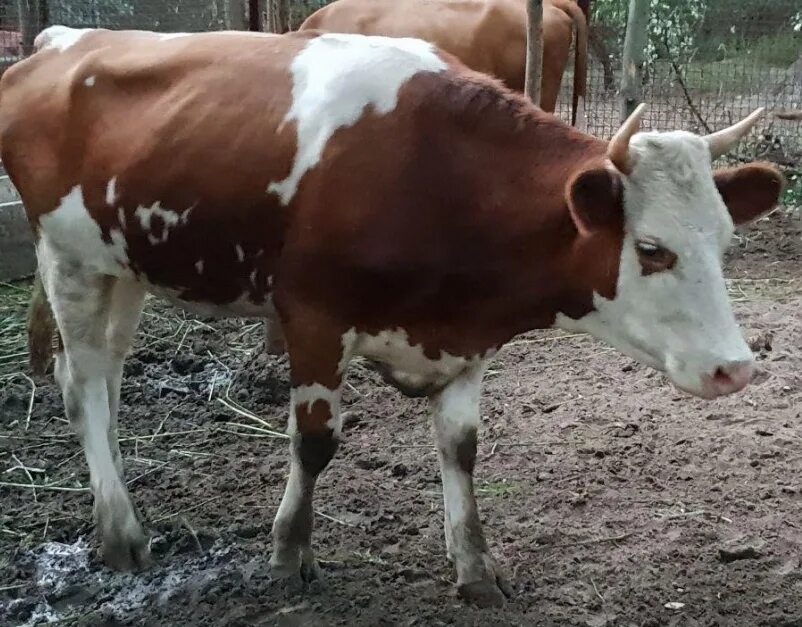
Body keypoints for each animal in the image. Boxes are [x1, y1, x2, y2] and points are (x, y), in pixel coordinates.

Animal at [1, 25, 780, 608]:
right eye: (650, 249)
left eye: (725, 239)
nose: (735, 368)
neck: (440, 175)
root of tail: (63, 41)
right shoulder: (313, 316)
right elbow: (315, 442)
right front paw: (288, 554)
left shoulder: (466, 338)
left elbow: (461, 448)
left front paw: (475, 568)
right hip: (66, 256)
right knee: (81, 383)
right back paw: (119, 531)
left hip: (122, 263)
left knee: (106, 379)